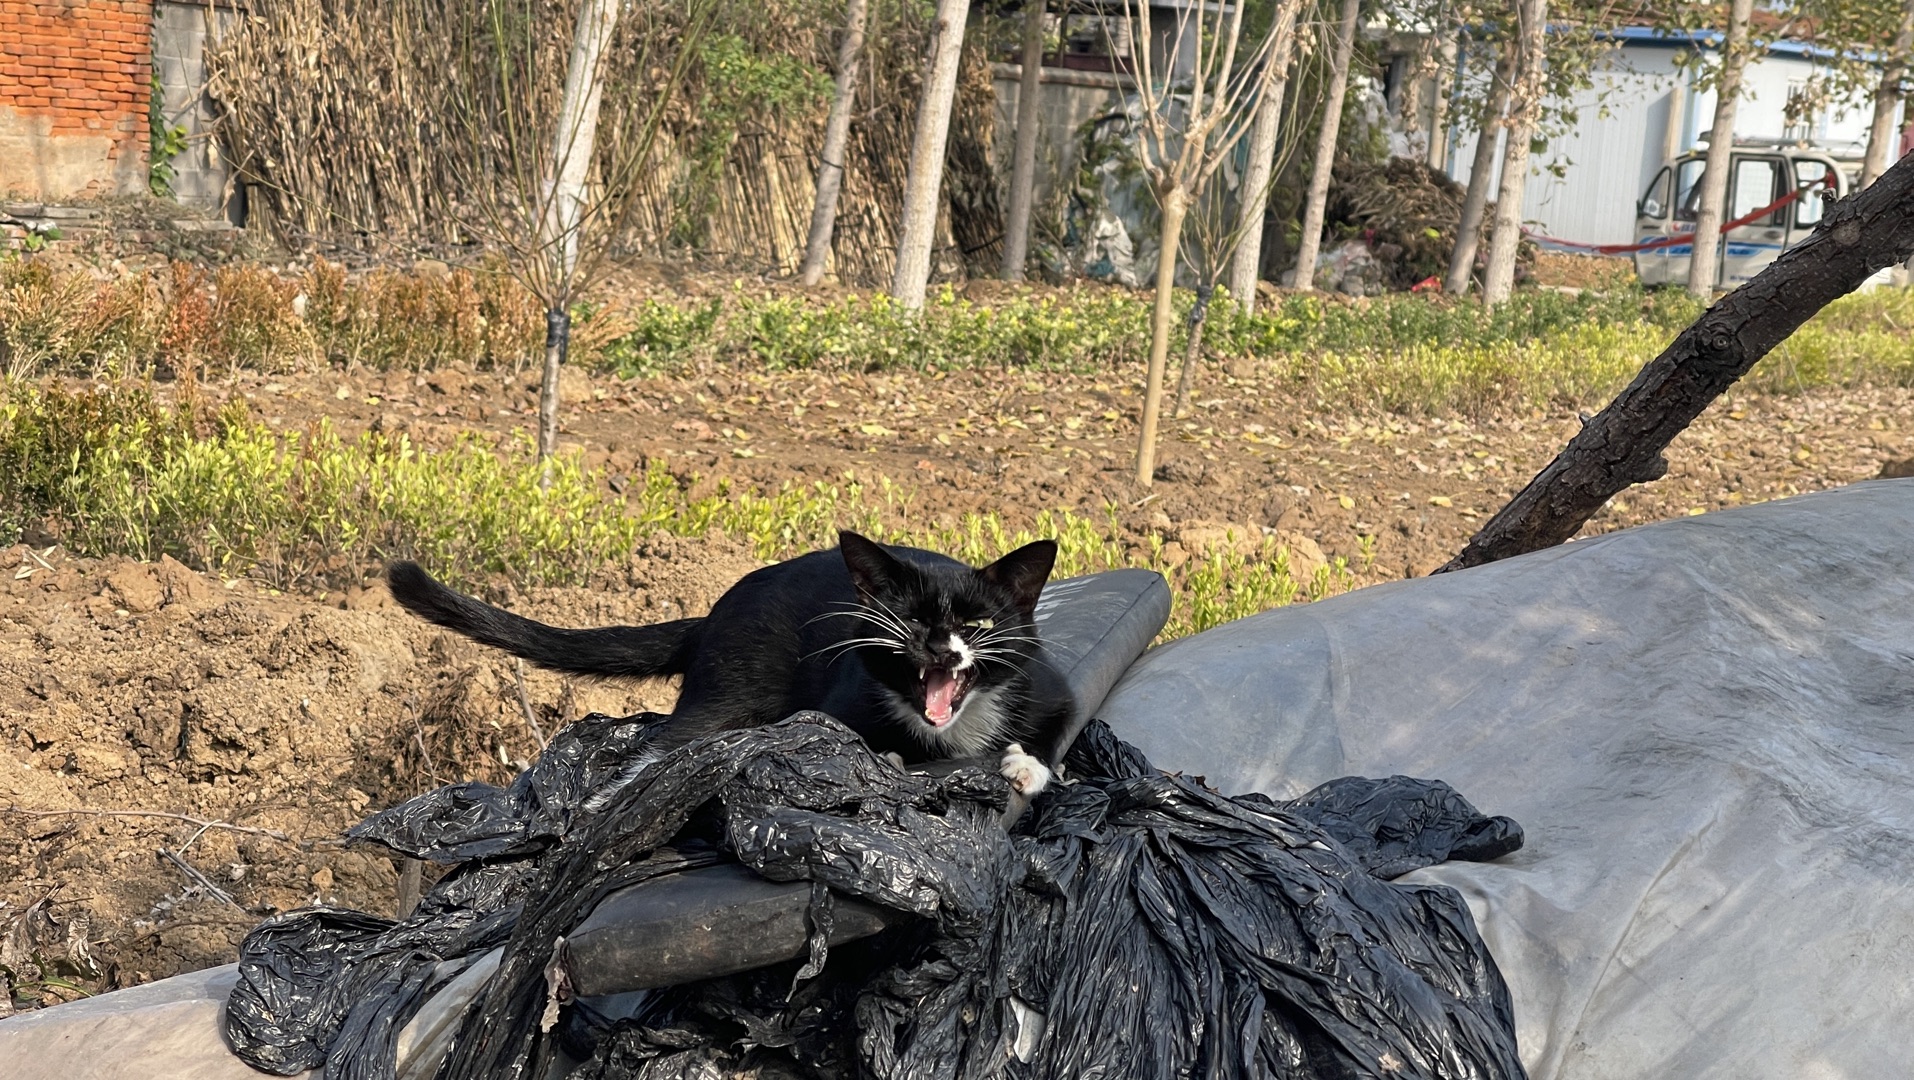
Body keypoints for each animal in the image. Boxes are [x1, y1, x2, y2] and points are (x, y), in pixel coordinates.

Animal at [384, 532, 1079, 800]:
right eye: (905, 621)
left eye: (978, 625)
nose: (939, 648)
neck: (949, 730)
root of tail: (713, 615)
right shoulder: (842, 699)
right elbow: (853, 739)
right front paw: (887, 758)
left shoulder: (1049, 685)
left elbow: (1059, 726)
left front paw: (1025, 766)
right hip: (727, 692)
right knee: (659, 753)